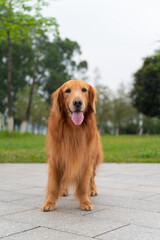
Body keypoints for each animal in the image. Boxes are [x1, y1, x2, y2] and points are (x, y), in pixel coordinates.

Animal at [41, 79, 102, 211]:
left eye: (84, 89)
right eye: (67, 90)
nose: (77, 102)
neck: (73, 128)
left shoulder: (86, 159)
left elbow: (84, 184)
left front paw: (85, 202)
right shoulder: (56, 158)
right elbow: (53, 185)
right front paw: (49, 203)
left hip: (94, 157)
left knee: (92, 177)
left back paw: (93, 190)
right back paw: (63, 190)